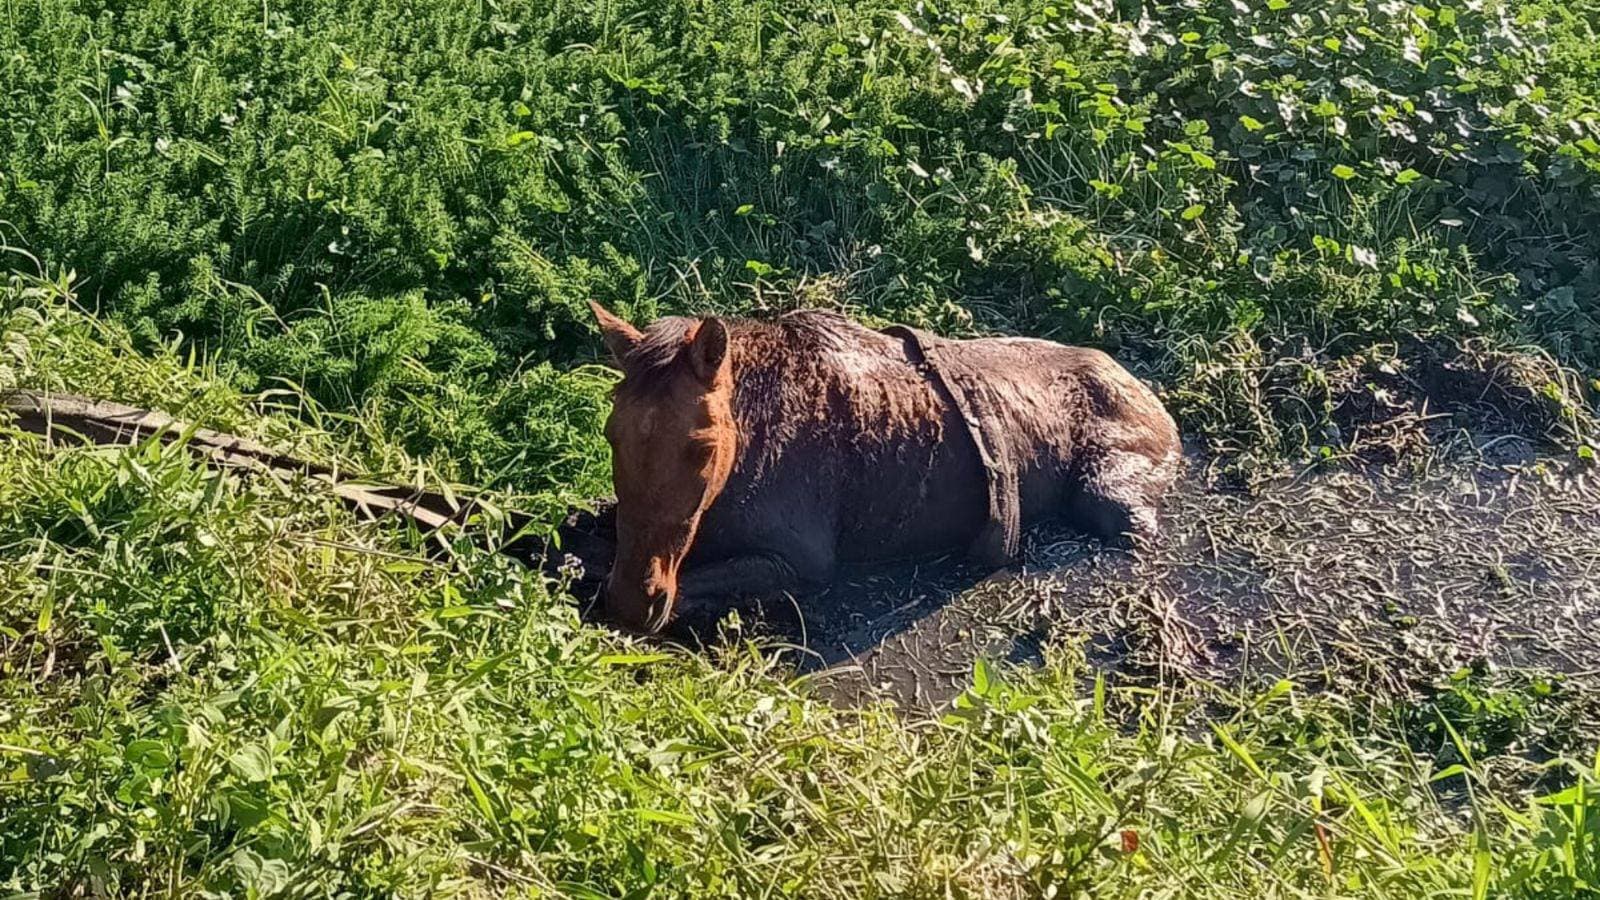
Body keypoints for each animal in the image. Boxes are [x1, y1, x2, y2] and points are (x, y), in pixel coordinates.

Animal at [588, 300, 1181, 634]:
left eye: (703, 447)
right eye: (611, 432)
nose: (634, 600)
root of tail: (1145, 389)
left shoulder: (803, 563)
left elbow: (693, 585)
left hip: (1108, 497)